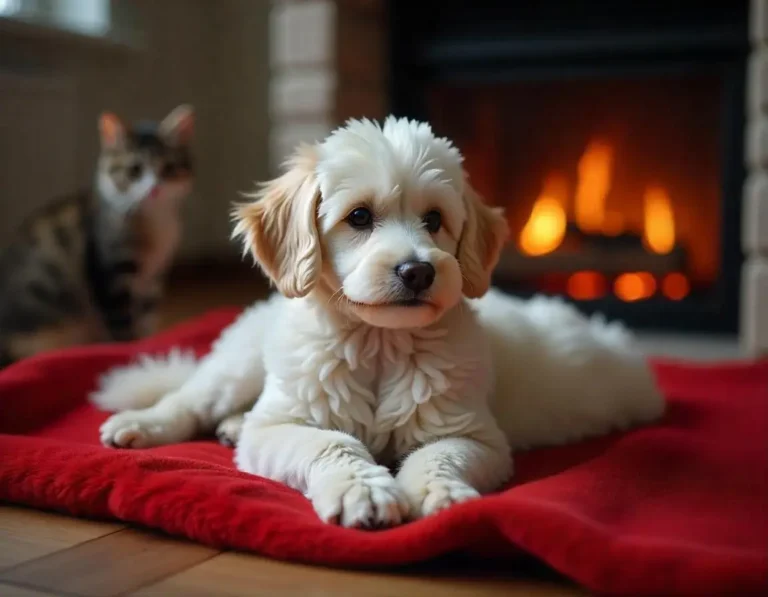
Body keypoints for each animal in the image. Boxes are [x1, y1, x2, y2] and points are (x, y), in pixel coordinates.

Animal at [0, 105, 192, 366]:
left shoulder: (154, 278)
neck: (155, 222)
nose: (154, 188)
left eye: (169, 168)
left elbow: (146, 321)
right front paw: (129, 350)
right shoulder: (110, 274)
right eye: (134, 170)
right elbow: (122, 326)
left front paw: (149, 344)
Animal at [93, 115, 664, 528]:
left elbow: (437, 458)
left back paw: (227, 427)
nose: (418, 271)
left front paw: (442, 494)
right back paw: (141, 424)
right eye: (359, 217)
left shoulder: (474, 436)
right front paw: (361, 491)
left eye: (434, 220)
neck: (378, 343)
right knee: (188, 399)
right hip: (239, 365)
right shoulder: (280, 426)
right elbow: (331, 442)